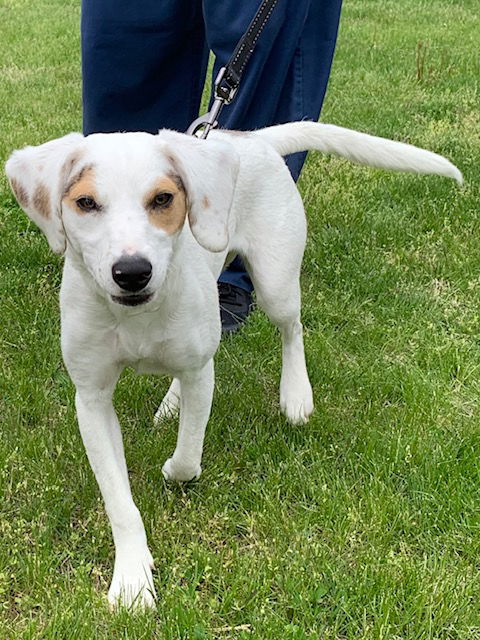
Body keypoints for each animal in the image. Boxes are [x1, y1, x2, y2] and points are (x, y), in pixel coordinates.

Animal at [3, 122, 462, 608]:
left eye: (163, 199)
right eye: (86, 203)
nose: (132, 272)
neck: (137, 316)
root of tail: (250, 139)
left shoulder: (198, 372)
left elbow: (188, 456)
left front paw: (173, 470)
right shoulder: (91, 398)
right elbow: (119, 501)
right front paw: (131, 579)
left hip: (276, 281)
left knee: (292, 328)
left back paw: (295, 394)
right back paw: (172, 404)